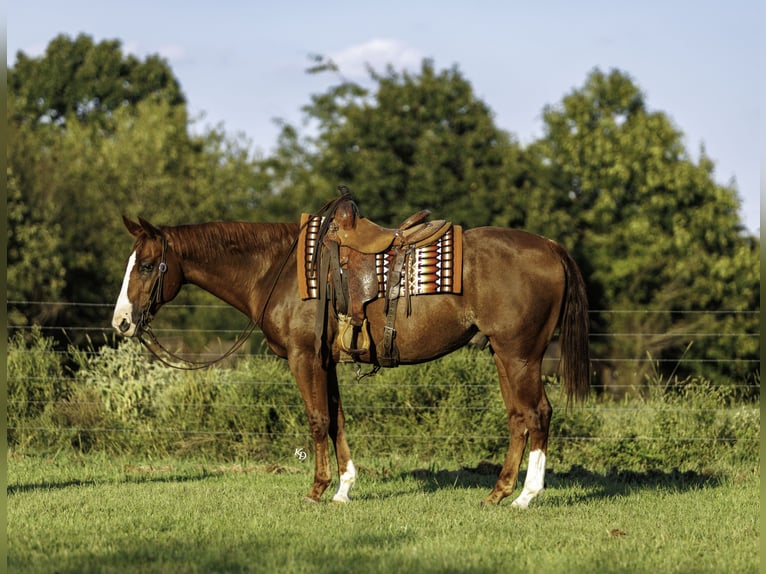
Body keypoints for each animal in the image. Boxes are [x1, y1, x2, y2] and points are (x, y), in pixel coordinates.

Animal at [111, 207, 590, 507]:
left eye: (148, 265)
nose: (121, 322)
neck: (277, 271)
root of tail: (550, 247)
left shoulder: (304, 358)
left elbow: (317, 419)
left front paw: (316, 490)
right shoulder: (326, 361)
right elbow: (337, 419)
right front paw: (343, 489)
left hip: (520, 354)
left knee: (538, 413)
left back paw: (526, 497)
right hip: (503, 354)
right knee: (518, 417)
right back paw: (499, 492)